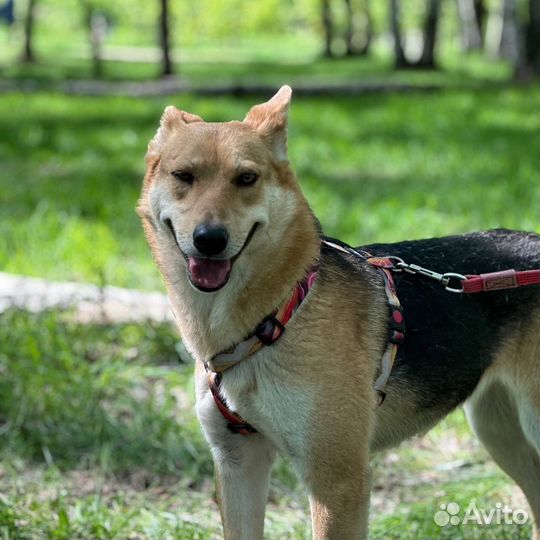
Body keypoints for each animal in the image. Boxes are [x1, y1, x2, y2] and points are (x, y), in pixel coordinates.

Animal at [138, 86, 540, 536]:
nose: (210, 239)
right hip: (499, 430)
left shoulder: (337, 481)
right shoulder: (237, 463)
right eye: (183, 177)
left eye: (247, 179)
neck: (277, 315)